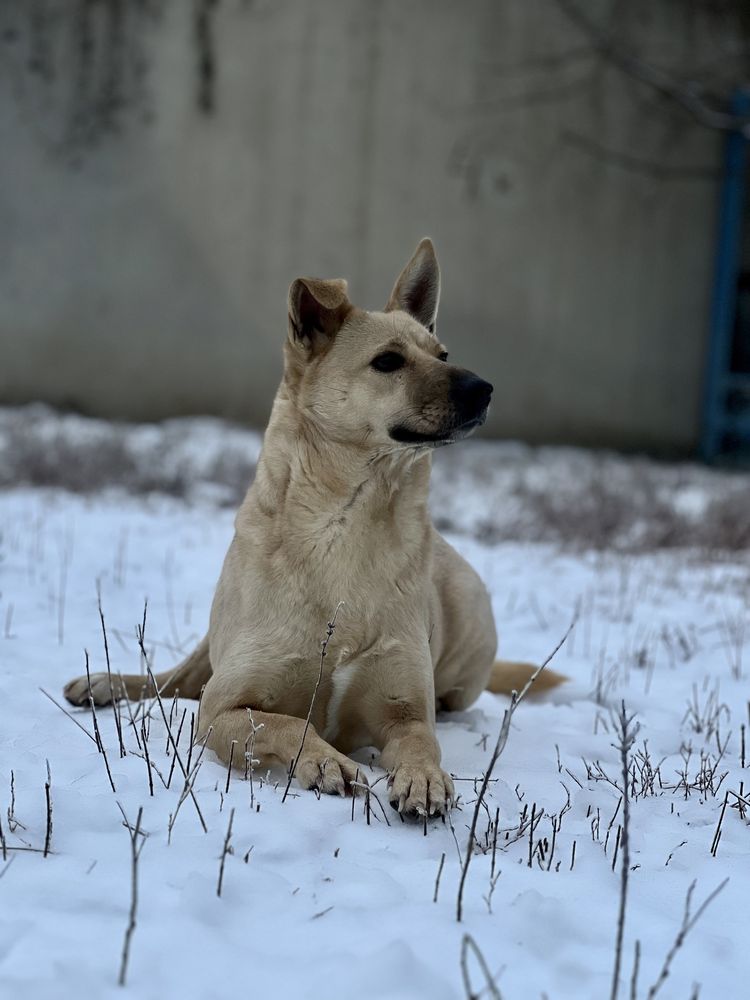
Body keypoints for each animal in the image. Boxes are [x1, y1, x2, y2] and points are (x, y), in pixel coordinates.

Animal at [66, 238, 564, 816]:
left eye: (441, 355)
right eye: (388, 361)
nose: (483, 388)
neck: (347, 525)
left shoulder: (404, 710)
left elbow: (422, 741)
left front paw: (423, 779)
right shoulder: (221, 710)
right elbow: (286, 725)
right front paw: (325, 762)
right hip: (212, 646)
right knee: (168, 681)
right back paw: (103, 683)